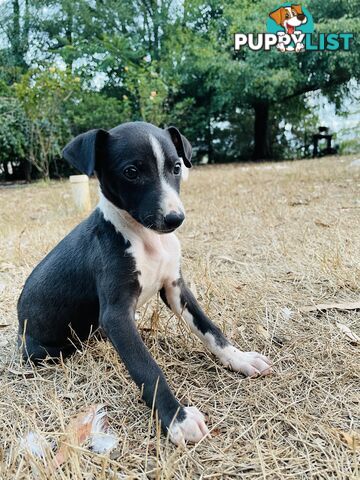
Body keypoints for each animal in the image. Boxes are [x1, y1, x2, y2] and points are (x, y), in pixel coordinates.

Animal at [16, 122, 270, 444]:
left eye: (176, 167)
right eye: (131, 172)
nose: (175, 218)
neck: (145, 239)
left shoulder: (175, 288)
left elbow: (210, 329)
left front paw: (239, 358)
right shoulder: (116, 314)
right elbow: (147, 368)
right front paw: (177, 418)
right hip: (43, 350)